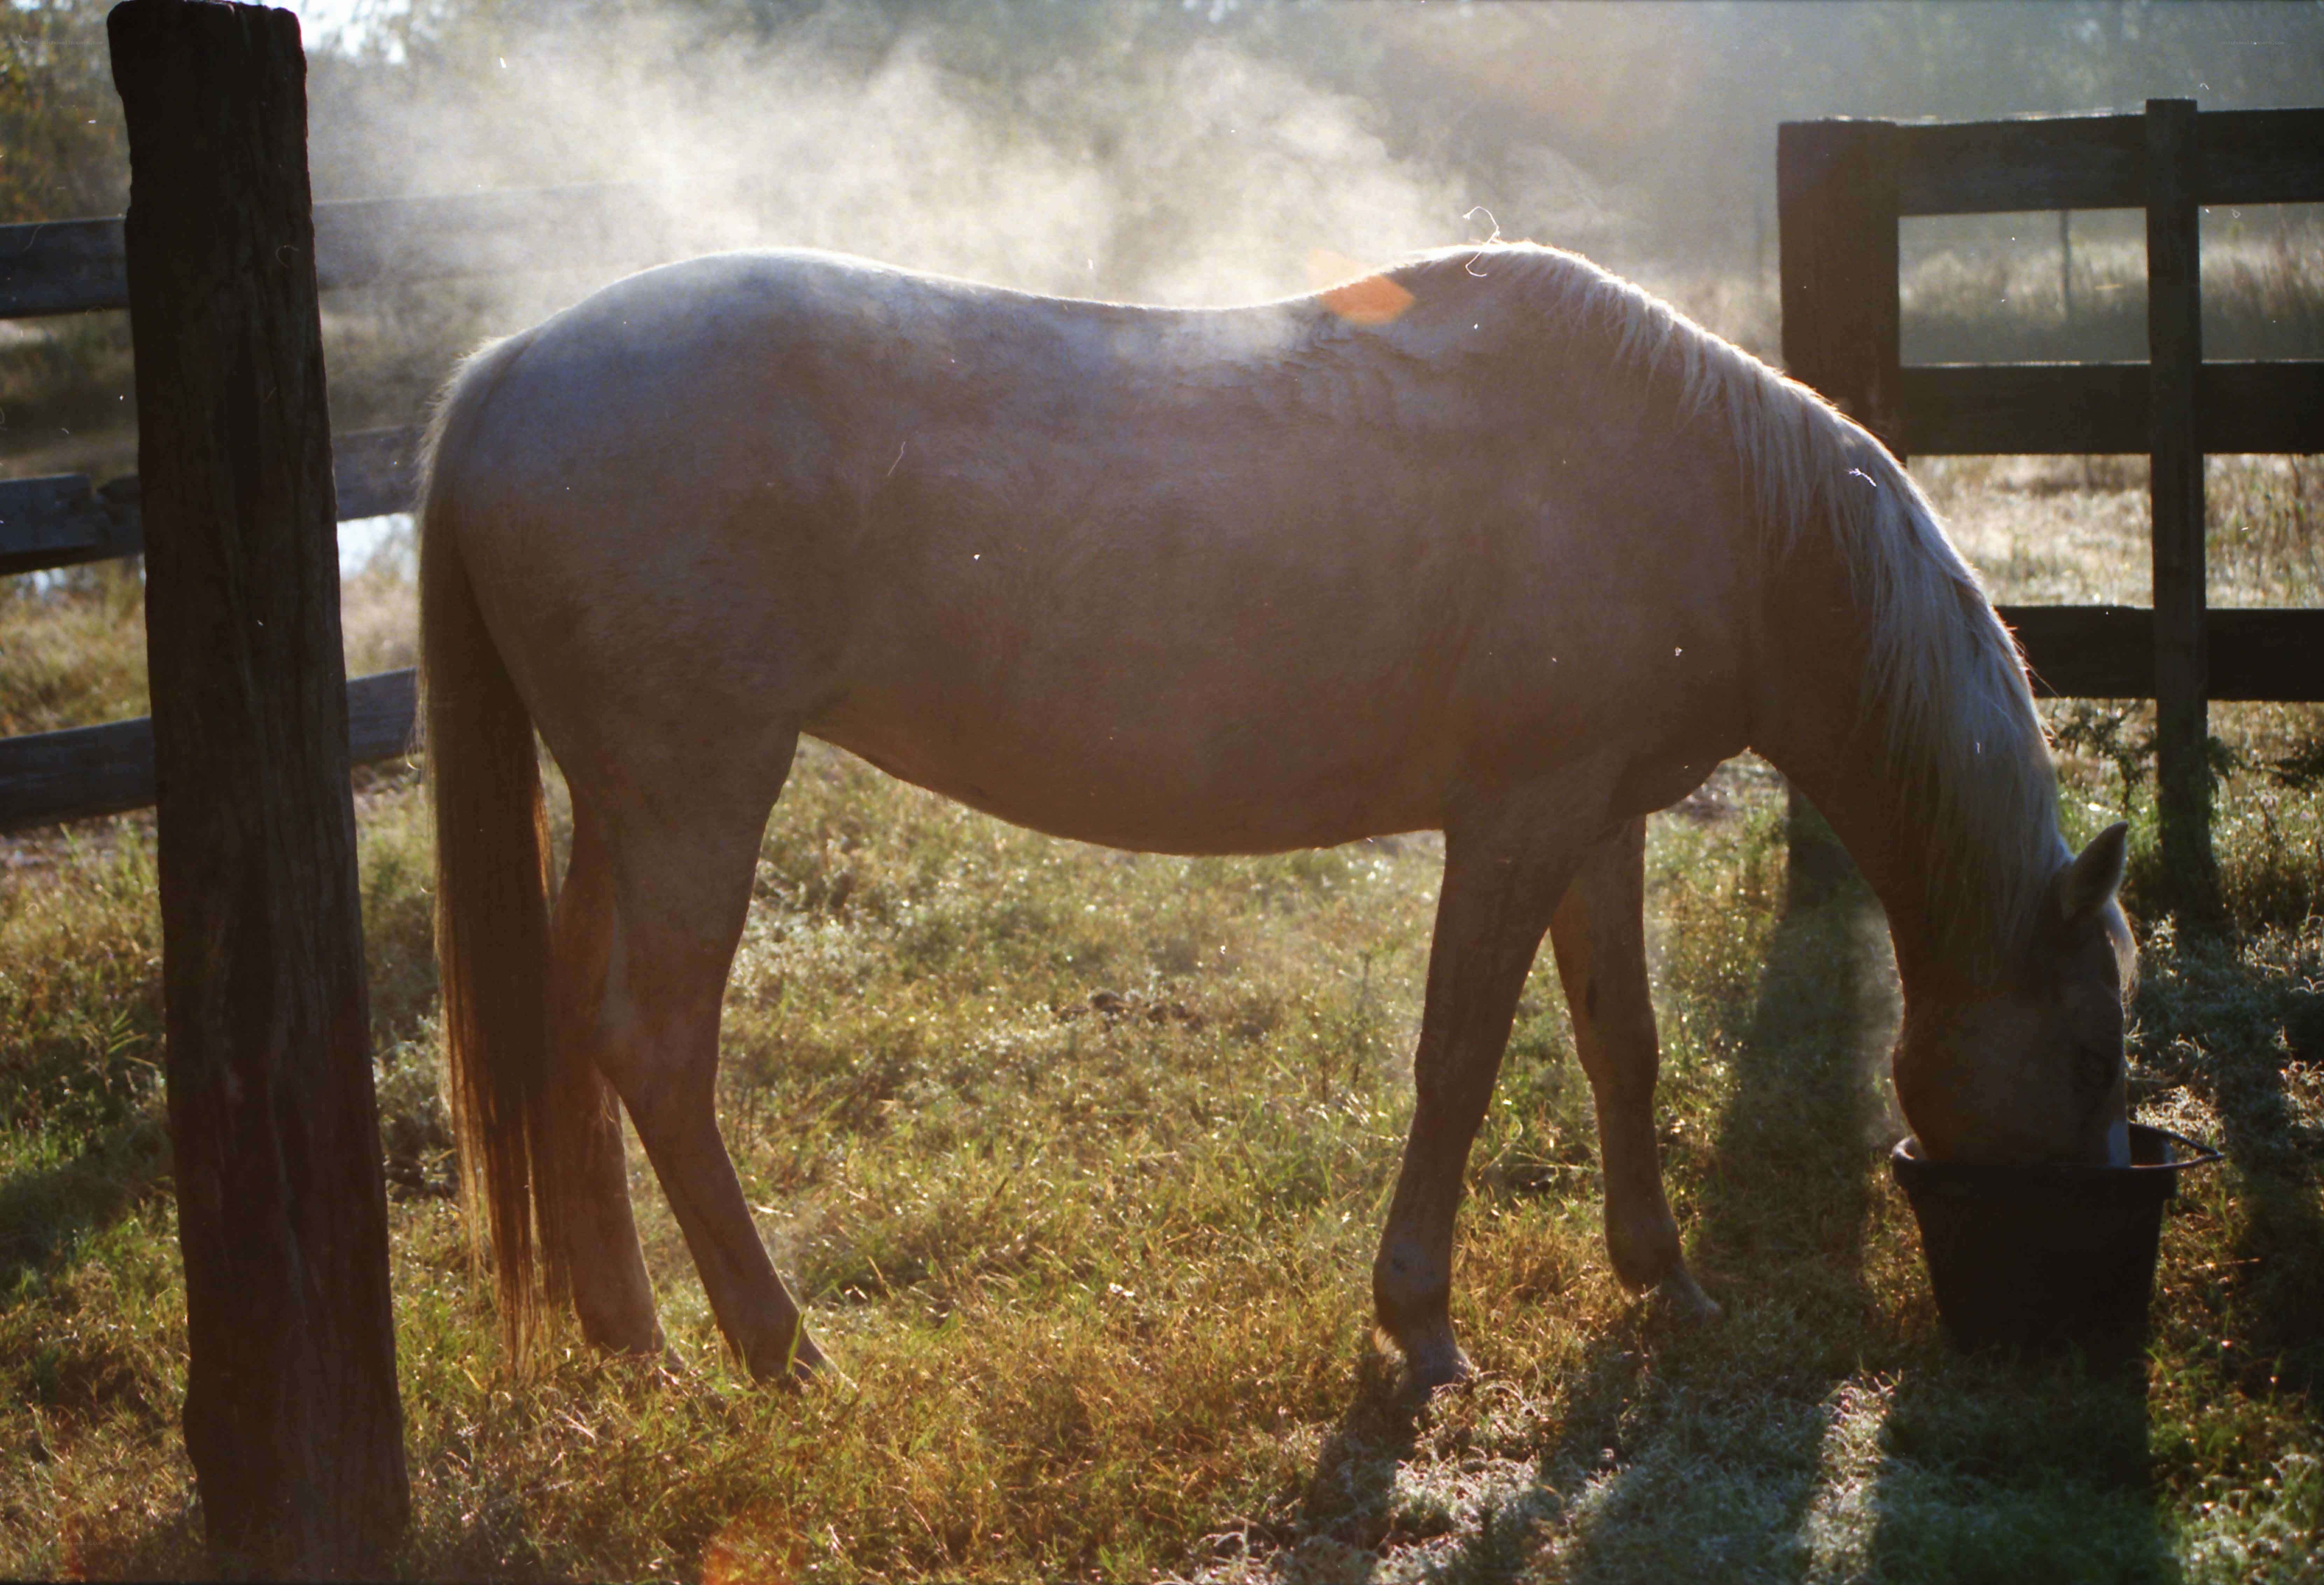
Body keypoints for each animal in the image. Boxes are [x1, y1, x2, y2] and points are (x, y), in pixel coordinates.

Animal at [416, 241, 2135, 1388]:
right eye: (2086, 1045)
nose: (2075, 1277)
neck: (1718, 505)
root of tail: (508, 368)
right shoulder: (1513, 823)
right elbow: (1456, 1060)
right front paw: (1421, 1324)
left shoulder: (1597, 819)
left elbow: (1620, 1047)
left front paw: (1661, 1279)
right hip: (700, 790)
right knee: (654, 1047)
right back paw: (780, 1353)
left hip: (617, 803)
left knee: (570, 1041)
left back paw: (634, 1347)